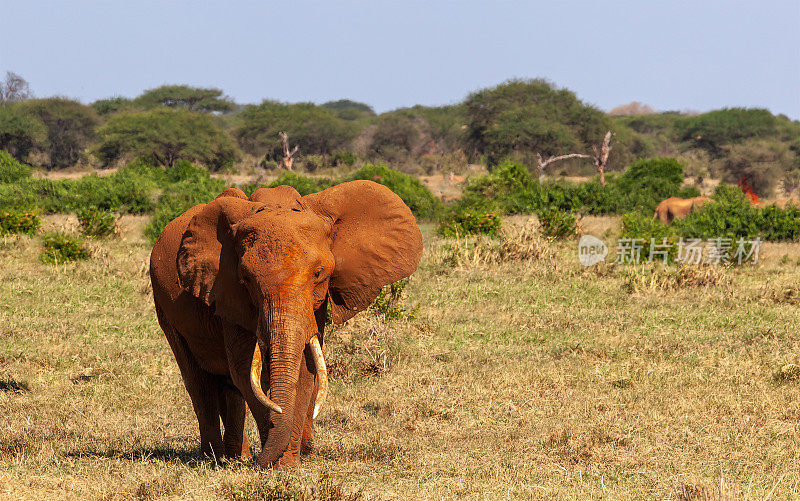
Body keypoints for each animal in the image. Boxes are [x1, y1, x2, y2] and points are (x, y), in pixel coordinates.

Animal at [150, 181, 424, 468]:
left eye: (319, 274)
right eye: (246, 279)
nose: (261, 462)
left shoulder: (314, 306)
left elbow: (305, 371)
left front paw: (288, 463)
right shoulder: (229, 295)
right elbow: (245, 372)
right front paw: (277, 461)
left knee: (227, 388)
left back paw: (237, 458)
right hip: (165, 309)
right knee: (199, 384)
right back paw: (215, 458)